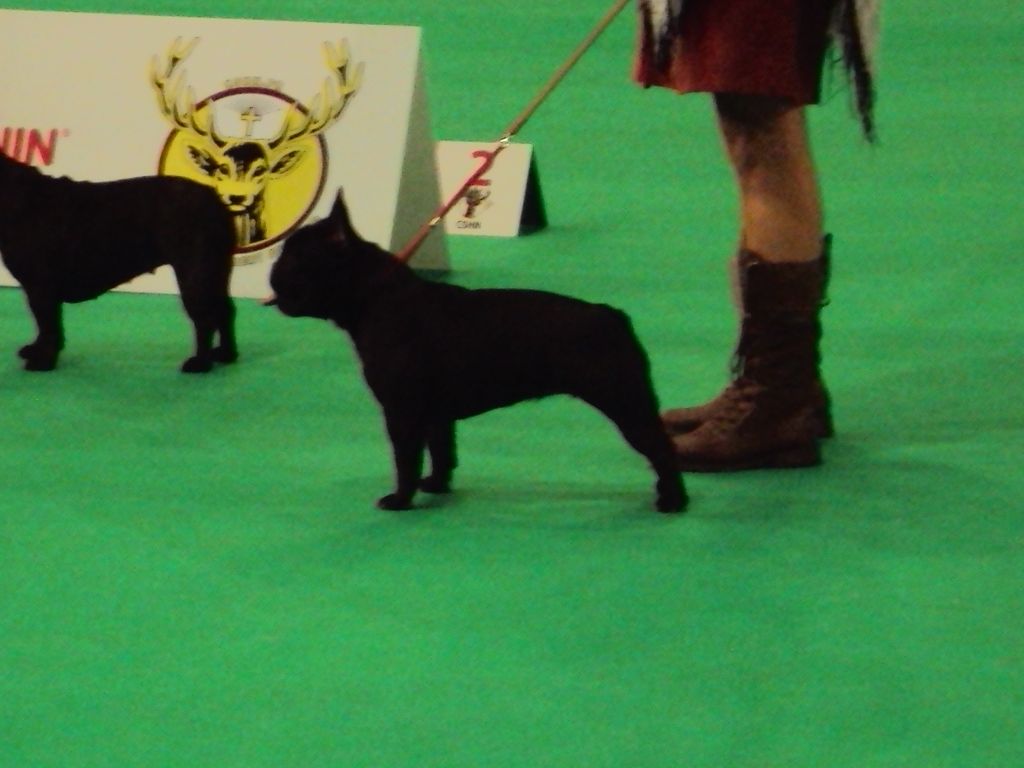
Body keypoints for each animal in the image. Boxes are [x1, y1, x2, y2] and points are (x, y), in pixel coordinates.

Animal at [0, 151, 237, 372]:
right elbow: (43, 325)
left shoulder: (41, 287)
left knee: (204, 317)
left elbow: (48, 325)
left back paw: (200, 363)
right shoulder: (36, 290)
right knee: (224, 309)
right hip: (216, 271)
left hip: (195, 273)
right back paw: (225, 354)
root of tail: (214, 201)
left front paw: (43, 361)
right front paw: (36, 350)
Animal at [268, 190, 686, 513]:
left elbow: (405, 458)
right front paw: (437, 485)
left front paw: (401, 500)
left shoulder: (402, 411)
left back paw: (672, 501)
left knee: (661, 448)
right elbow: (441, 450)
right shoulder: (434, 413)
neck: (375, 296)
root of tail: (611, 315)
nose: (272, 271)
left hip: (622, 400)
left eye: (296, 260)